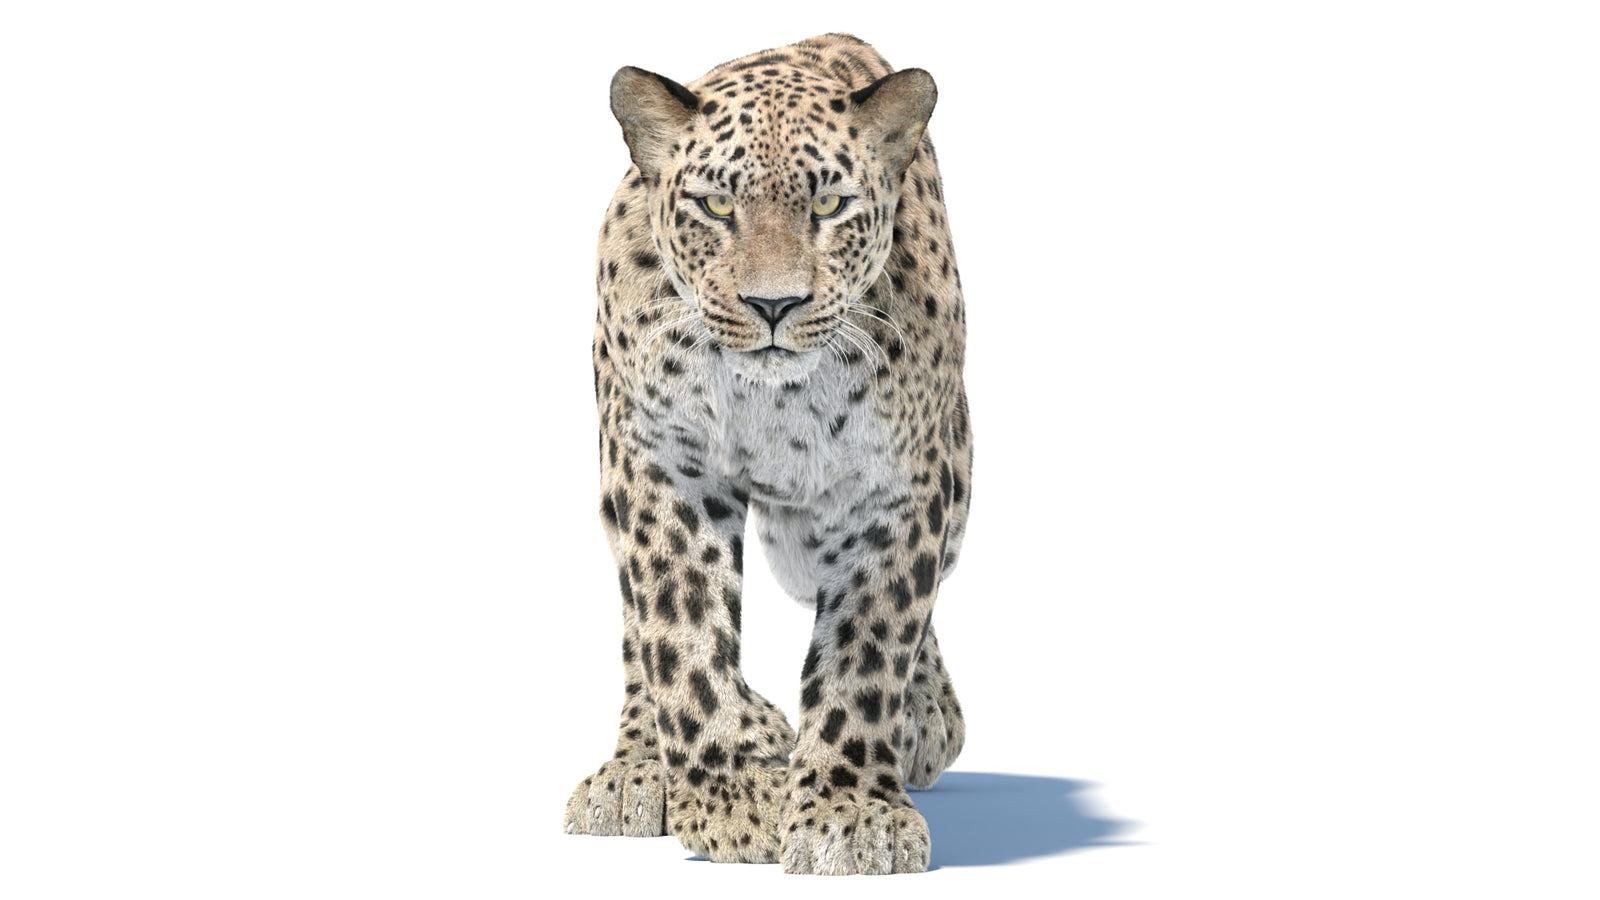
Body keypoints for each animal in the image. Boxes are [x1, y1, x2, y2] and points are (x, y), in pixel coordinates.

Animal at [563, 33, 973, 875]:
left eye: (830, 206)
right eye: (718, 206)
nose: (774, 305)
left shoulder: (897, 488)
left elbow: (869, 649)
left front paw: (851, 813)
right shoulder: (661, 460)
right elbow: (679, 628)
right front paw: (733, 790)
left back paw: (926, 720)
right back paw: (636, 768)